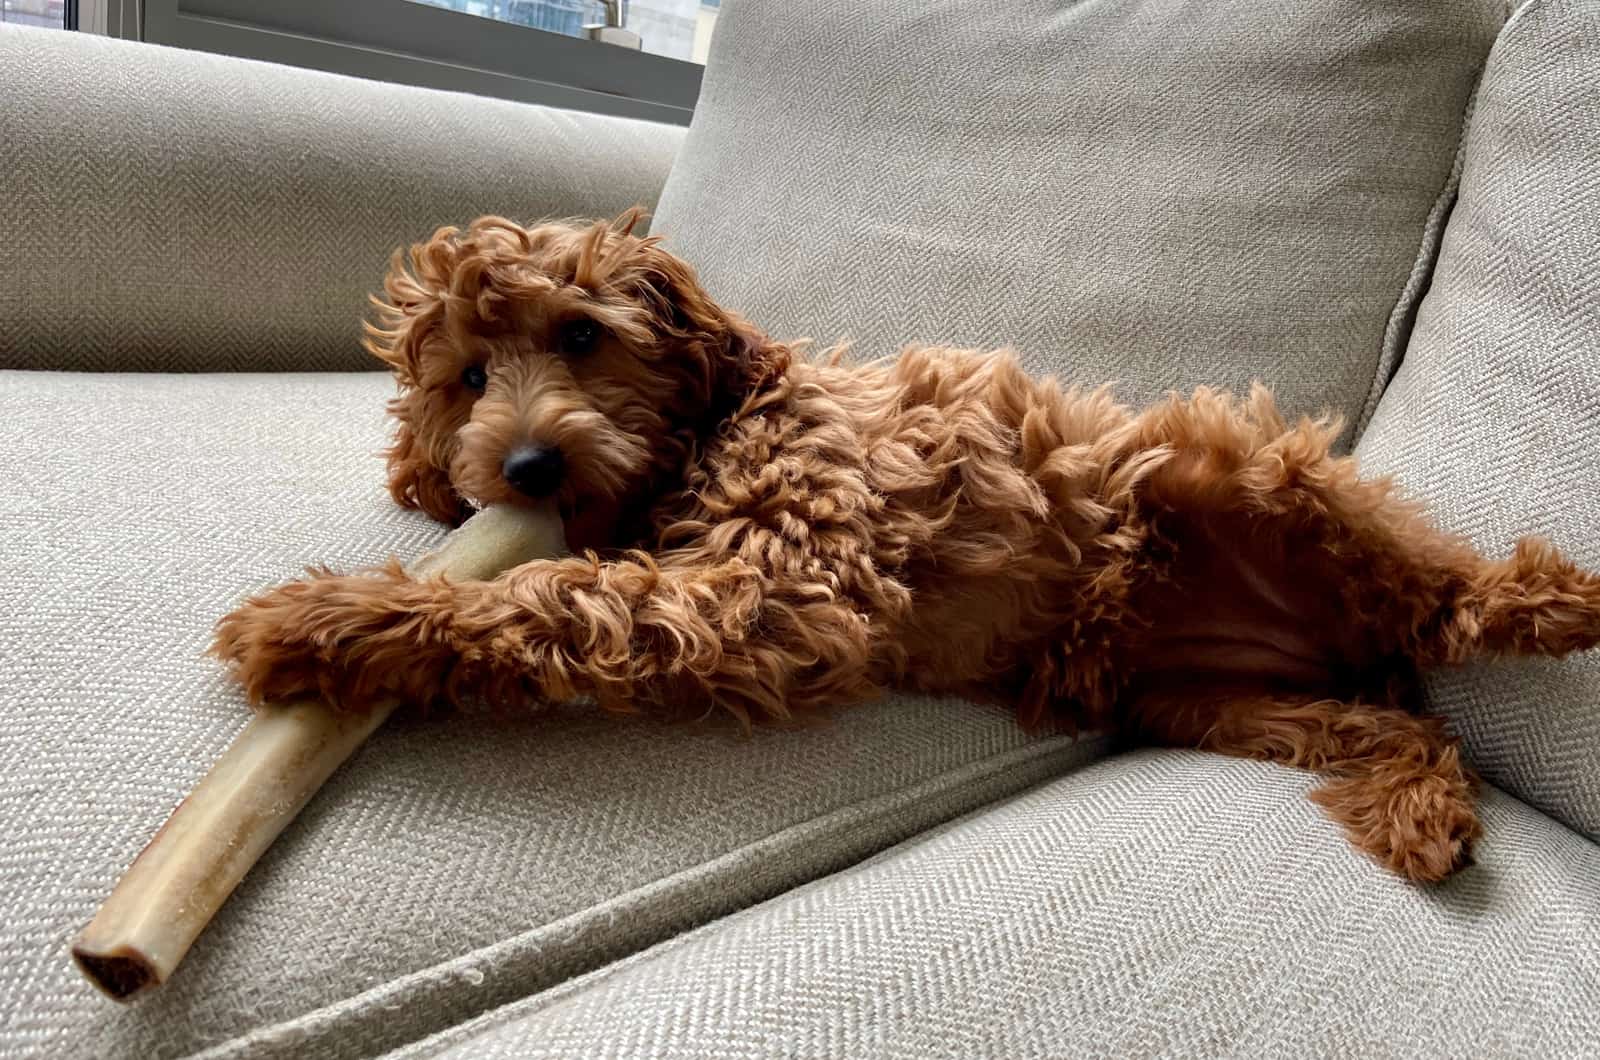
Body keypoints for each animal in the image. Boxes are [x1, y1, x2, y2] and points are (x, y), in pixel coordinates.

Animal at [212, 211, 1600, 883]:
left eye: (583, 336)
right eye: (468, 377)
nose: (527, 469)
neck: (716, 427)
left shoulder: (784, 582)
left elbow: (552, 599)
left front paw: (328, 621)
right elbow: (558, 588)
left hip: (1237, 468)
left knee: (1441, 598)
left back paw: (1547, 597)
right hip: (1208, 700)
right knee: (1399, 726)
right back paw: (1420, 807)